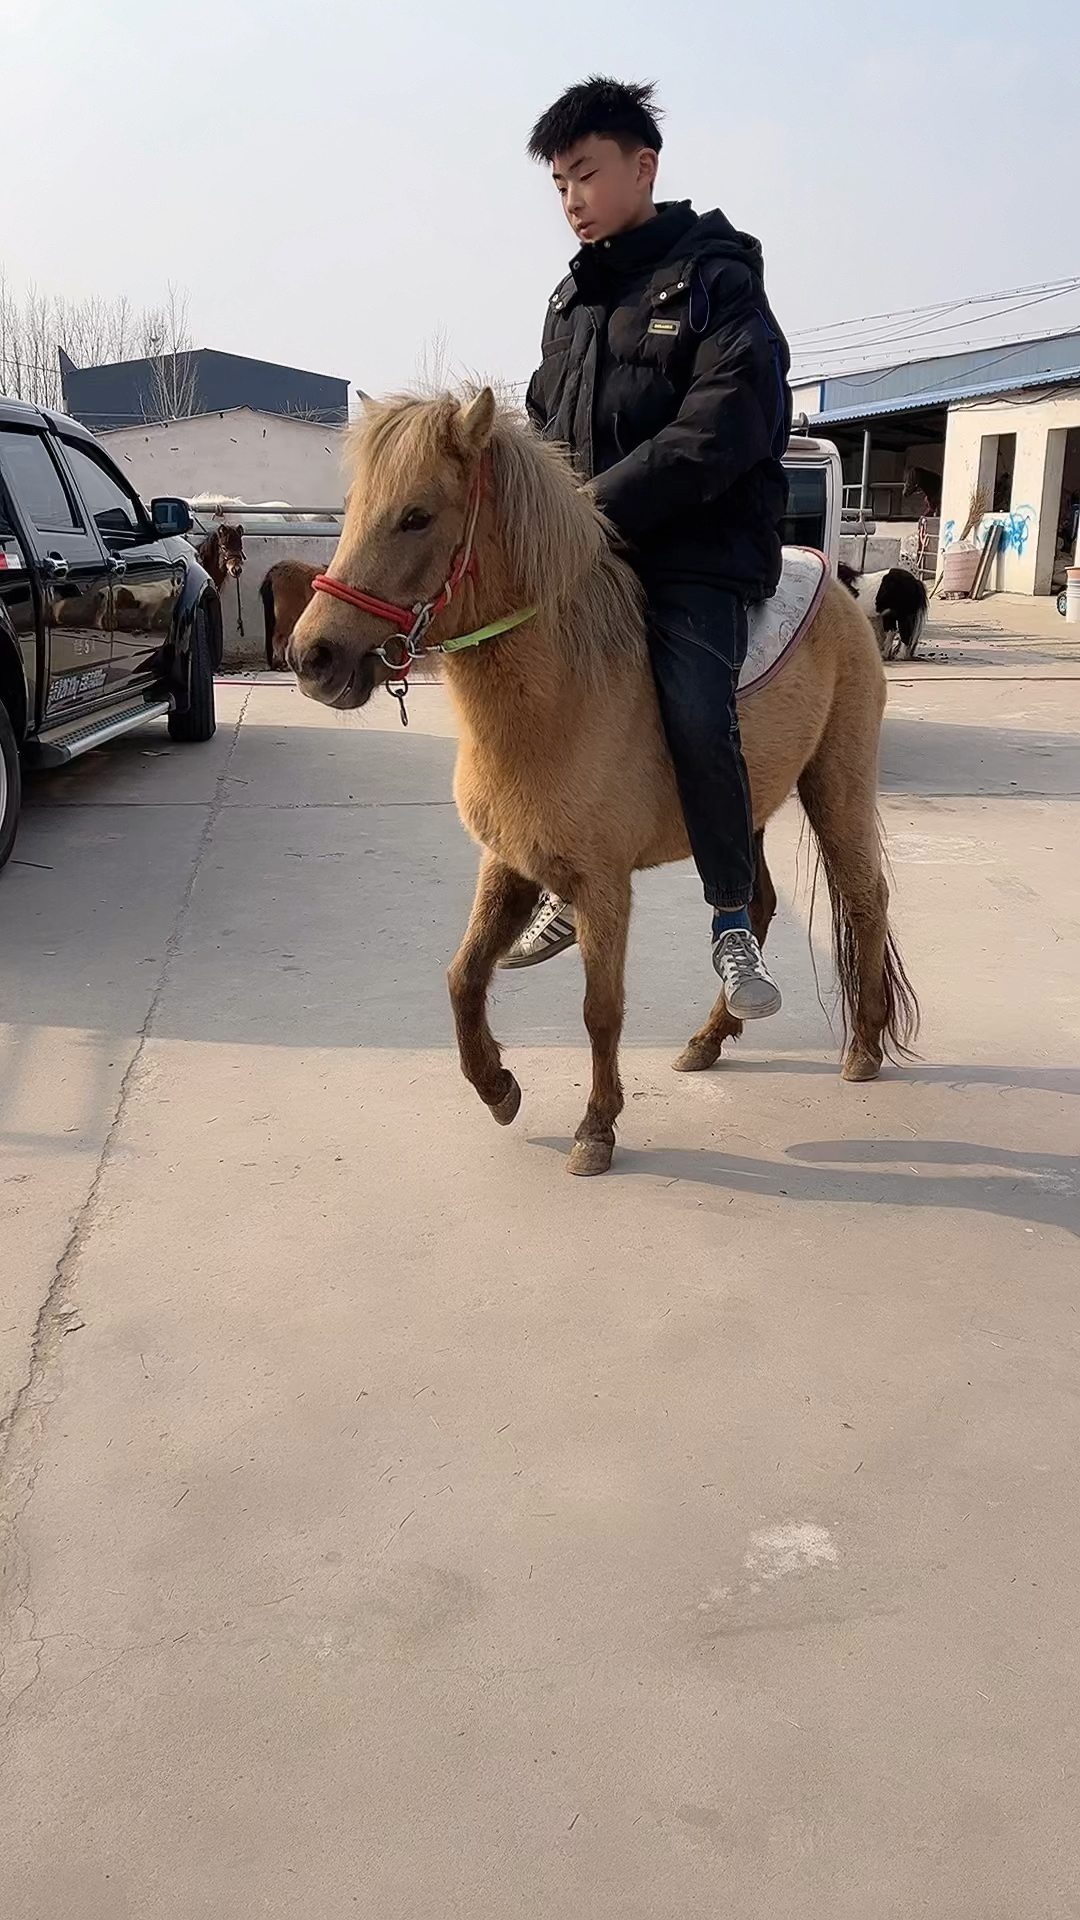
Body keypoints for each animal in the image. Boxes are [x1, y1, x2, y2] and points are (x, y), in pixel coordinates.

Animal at [290, 384, 910, 1175]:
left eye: (417, 515)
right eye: (352, 507)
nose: (312, 657)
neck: (563, 697)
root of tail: (831, 583)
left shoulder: (606, 884)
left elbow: (601, 1008)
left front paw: (596, 1127)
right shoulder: (508, 863)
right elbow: (463, 976)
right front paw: (497, 1087)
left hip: (836, 784)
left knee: (863, 899)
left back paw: (863, 1048)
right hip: (749, 808)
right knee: (760, 901)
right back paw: (709, 1039)